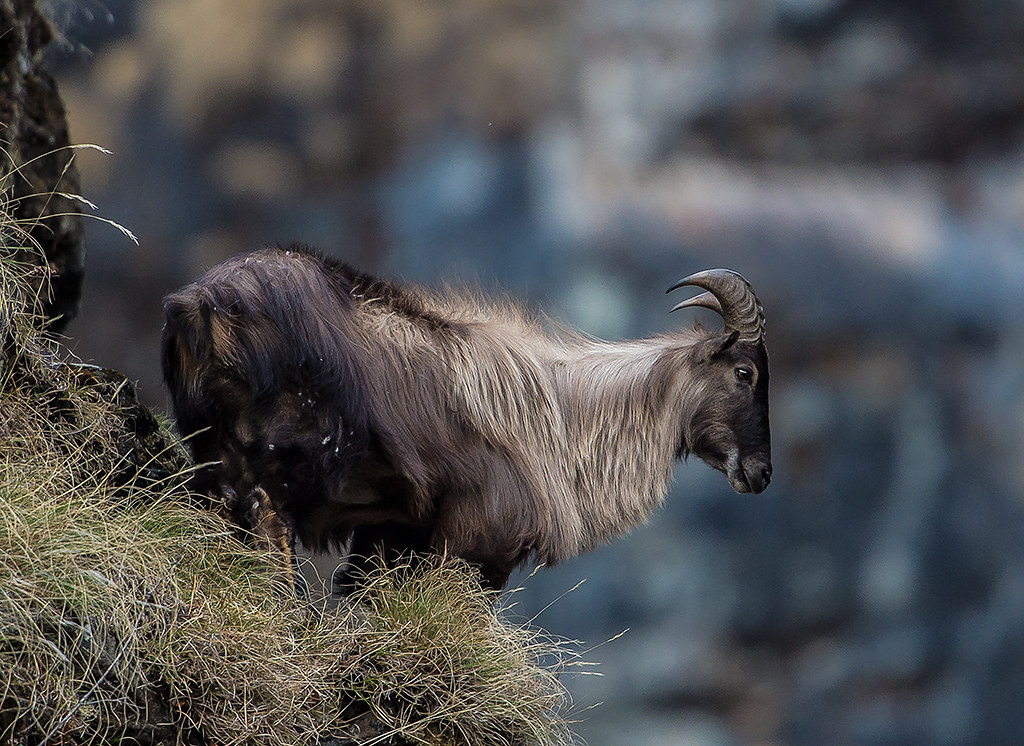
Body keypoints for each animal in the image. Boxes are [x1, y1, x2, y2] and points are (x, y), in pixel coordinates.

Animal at [161, 245, 771, 591]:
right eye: (745, 372)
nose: (760, 472)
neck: (557, 418)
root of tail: (202, 306)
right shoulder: (480, 541)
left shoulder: (391, 533)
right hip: (294, 456)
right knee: (268, 520)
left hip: (213, 450)